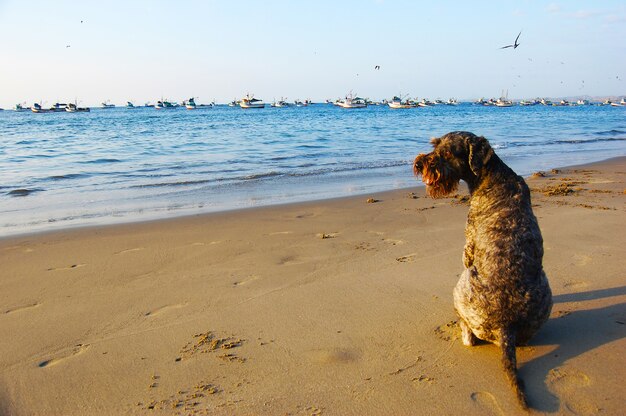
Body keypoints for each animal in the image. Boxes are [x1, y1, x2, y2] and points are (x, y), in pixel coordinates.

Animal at [414, 132, 552, 408]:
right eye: (435, 144)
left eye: (448, 152)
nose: (419, 163)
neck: (492, 176)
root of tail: (506, 325)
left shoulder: (468, 246)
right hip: (546, 289)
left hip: (460, 287)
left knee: (469, 335)